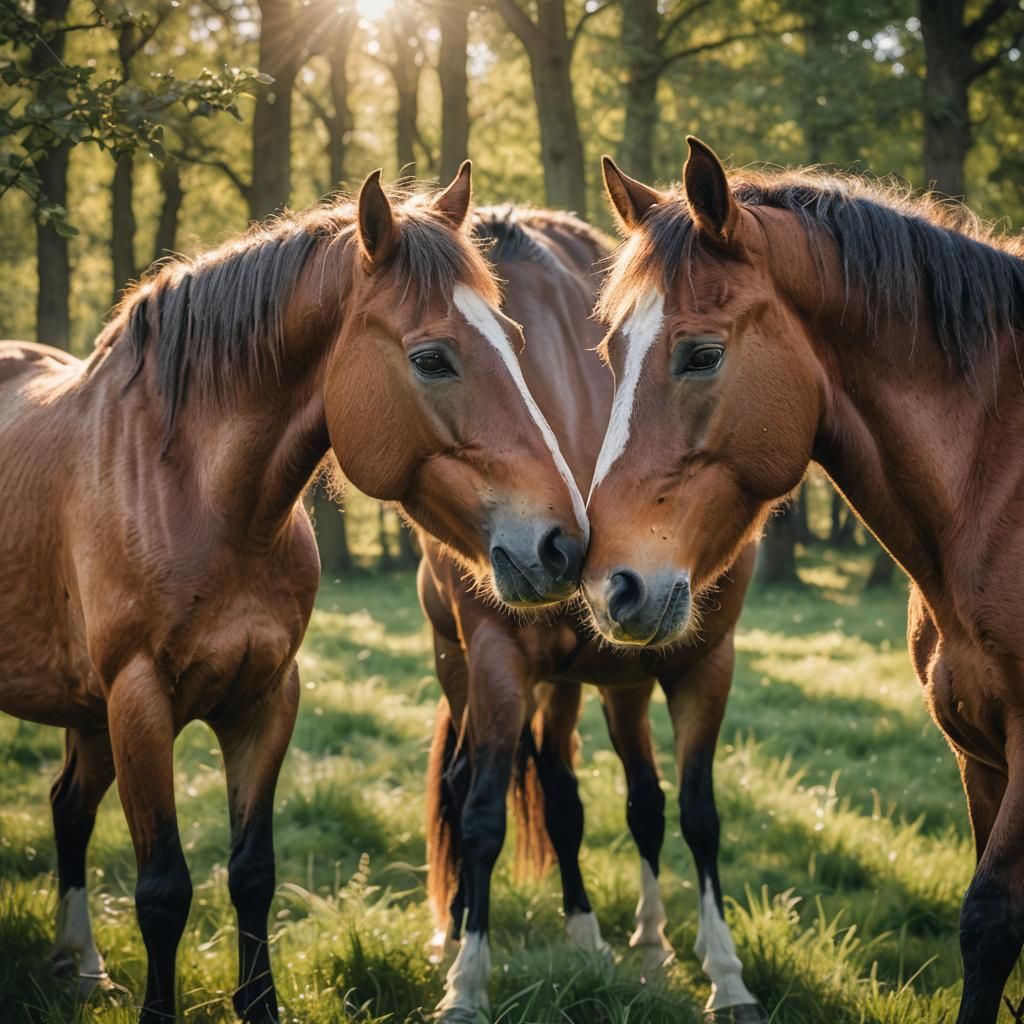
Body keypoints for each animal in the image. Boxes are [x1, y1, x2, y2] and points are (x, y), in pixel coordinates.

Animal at [0, 165, 589, 1023]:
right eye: (433, 358)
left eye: (512, 340)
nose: (563, 544)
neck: (201, 499)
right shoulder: (139, 702)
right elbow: (163, 890)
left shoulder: (266, 699)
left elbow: (252, 874)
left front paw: (261, 1004)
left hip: (88, 711)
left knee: (68, 808)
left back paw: (82, 966)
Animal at [417, 206, 763, 1023]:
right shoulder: (497, 658)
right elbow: (481, 815)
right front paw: (466, 984)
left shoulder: (700, 663)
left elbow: (691, 811)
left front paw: (722, 972)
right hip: (466, 667)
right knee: (477, 785)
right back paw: (462, 932)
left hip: (595, 683)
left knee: (604, 796)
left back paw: (612, 937)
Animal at [581, 136, 1024, 1024]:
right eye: (612, 351)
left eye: (702, 354)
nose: (612, 587)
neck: (999, 488)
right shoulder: (981, 754)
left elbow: (991, 923)